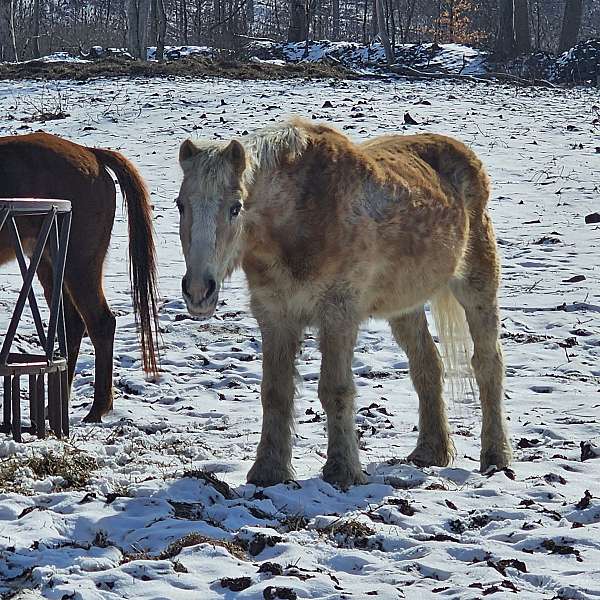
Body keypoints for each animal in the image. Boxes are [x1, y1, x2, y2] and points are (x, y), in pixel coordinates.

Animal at [0, 132, 158, 422]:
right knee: (72, 326)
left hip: (79, 265)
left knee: (100, 323)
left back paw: (97, 409)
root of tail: (91, 154)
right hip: (51, 266)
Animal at [176, 117, 512, 488]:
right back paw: (430, 452)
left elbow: (334, 389)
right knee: (427, 365)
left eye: (236, 207)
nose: (198, 290)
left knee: (488, 364)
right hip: (405, 306)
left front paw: (342, 470)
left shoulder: (338, 315)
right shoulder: (275, 316)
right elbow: (275, 392)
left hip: (476, 284)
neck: (303, 216)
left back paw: (495, 457)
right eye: (181, 204)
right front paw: (269, 471)